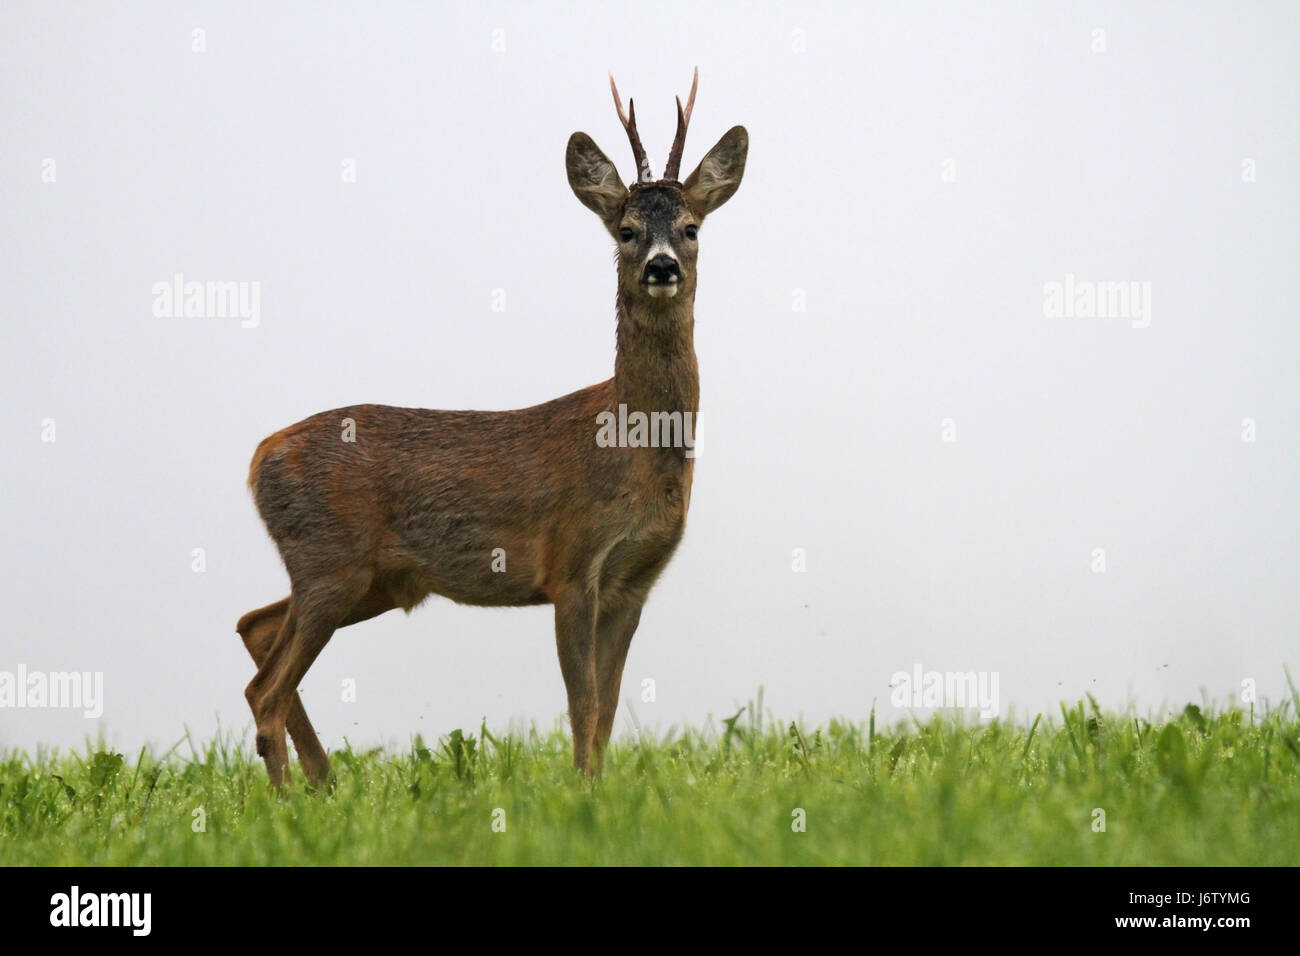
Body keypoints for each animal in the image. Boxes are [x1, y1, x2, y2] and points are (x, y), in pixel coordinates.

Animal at [232, 65, 743, 785]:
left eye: (693, 227)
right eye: (625, 229)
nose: (662, 266)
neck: (629, 442)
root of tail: (259, 457)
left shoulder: (633, 581)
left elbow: (609, 707)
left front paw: (598, 788)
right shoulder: (570, 565)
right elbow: (583, 704)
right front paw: (583, 794)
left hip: (368, 578)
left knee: (254, 627)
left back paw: (325, 786)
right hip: (329, 562)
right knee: (265, 688)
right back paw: (288, 800)